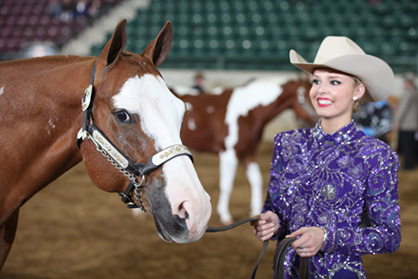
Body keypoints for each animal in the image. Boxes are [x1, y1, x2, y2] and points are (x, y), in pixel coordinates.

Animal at [175, 77, 316, 224]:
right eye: (307, 97)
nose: (317, 118)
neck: (248, 112)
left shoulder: (248, 153)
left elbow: (257, 180)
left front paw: (256, 212)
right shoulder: (229, 154)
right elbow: (227, 185)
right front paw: (225, 215)